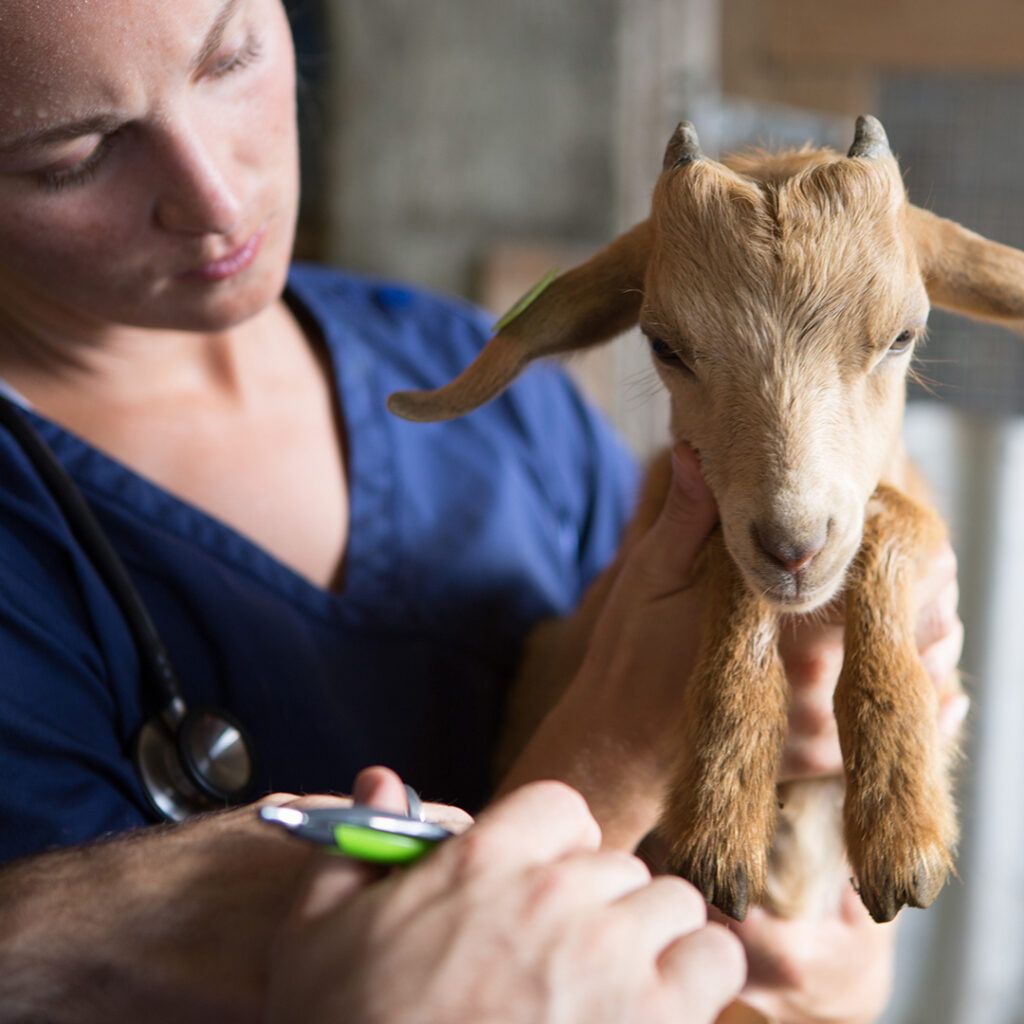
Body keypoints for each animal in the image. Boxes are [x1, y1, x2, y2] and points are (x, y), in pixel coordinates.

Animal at [387, 116, 1019, 924]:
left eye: (904, 337)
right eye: (665, 345)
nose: (793, 548)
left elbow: (894, 521)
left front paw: (901, 820)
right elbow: (728, 558)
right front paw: (723, 811)